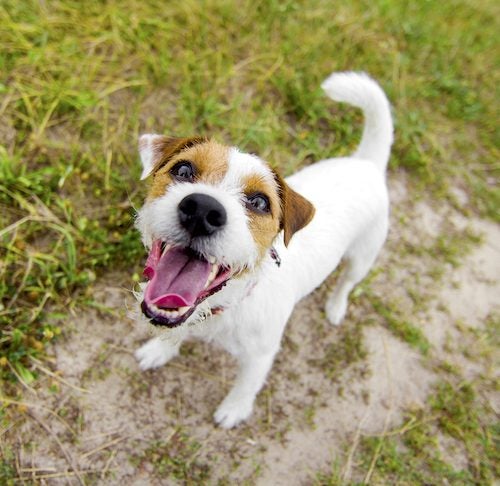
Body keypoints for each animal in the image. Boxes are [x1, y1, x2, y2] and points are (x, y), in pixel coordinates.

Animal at [135, 70, 392, 428]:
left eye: (259, 202)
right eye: (183, 170)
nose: (202, 210)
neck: (231, 301)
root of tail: (366, 164)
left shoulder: (260, 355)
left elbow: (247, 384)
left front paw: (234, 408)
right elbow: (175, 332)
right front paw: (160, 350)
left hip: (362, 256)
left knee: (347, 282)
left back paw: (335, 306)